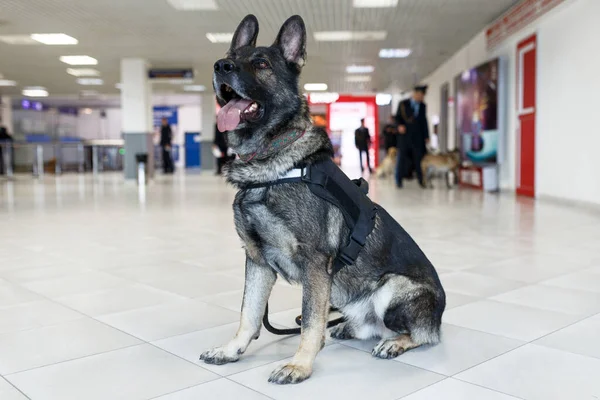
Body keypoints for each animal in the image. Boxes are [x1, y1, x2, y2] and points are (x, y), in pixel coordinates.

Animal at [202, 14, 446, 384]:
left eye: (261, 64)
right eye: (230, 56)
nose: (220, 66)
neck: (272, 164)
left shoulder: (315, 265)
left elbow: (311, 323)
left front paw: (300, 364)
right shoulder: (257, 261)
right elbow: (249, 313)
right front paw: (232, 350)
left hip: (391, 290)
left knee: (421, 334)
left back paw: (394, 342)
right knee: (367, 326)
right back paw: (350, 327)